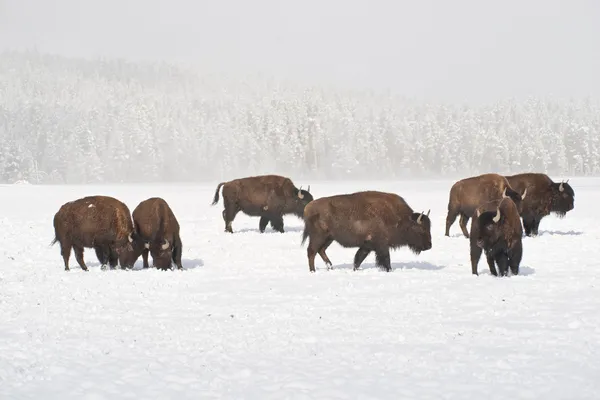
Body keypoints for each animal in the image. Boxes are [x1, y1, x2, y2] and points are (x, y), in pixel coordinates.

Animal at [300, 191, 432, 272]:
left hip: (329, 238)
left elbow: (358, 259)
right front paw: (389, 270)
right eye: (421, 229)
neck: (402, 219)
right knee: (311, 251)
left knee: (321, 250)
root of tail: (308, 208)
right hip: (318, 237)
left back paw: (330, 267)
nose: (429, 246)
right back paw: (313, 271)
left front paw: (355, 270)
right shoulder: (381, 246)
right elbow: (386, 260)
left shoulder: (367, 246)